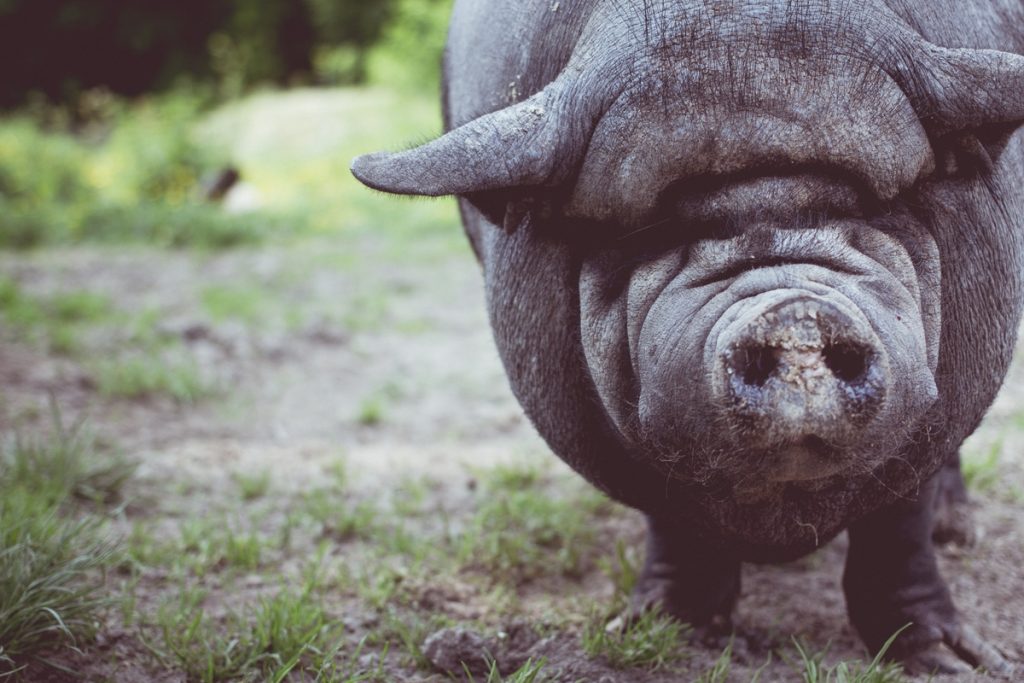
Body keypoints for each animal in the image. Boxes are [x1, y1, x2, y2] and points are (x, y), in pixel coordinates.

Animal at [352, 0, 1024, 675]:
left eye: (873, 204)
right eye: (654, 227)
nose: (794, 314)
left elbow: (899, 522)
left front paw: (962, 664)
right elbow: (673, 517)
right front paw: (661, 630)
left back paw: (956, 533)